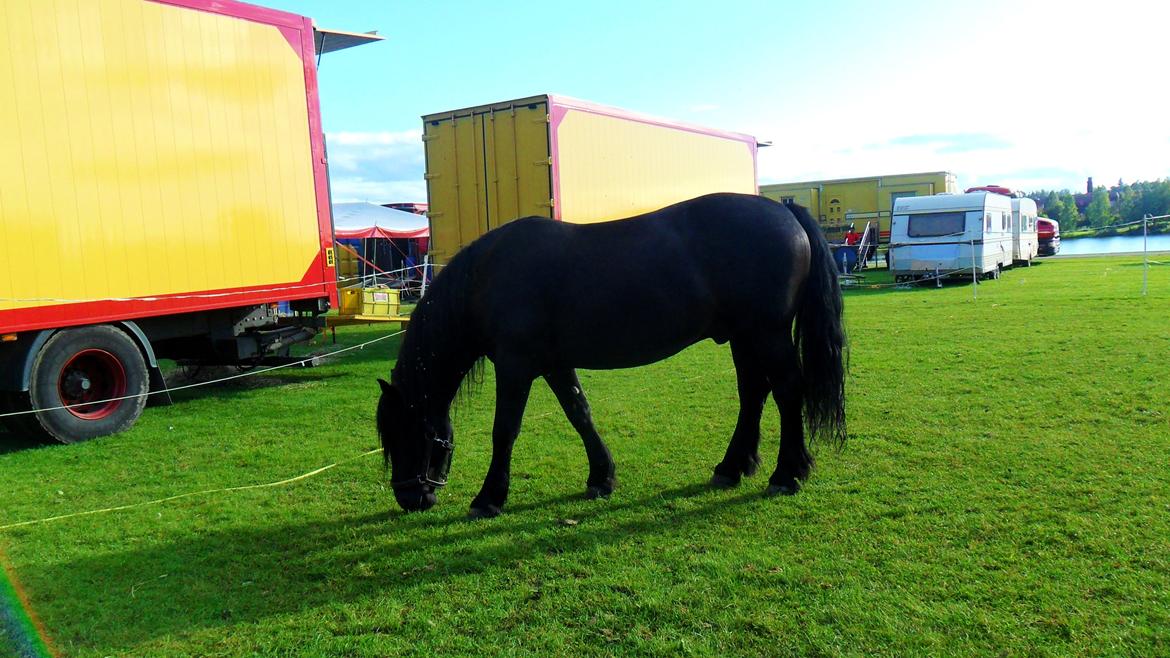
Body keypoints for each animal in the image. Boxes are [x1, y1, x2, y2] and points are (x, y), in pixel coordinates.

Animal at [379, 192, 847, 515]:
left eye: (403, 432)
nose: (410, 498)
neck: (487, 278)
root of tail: (784, 211)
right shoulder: (553, 363)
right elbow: (579, 413)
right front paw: (601, 478)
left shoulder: (515, 366)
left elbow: (505, 430)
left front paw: (489, 498)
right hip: (744, 337)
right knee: (753, 393)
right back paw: (733, 467)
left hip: (766, 334)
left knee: (787, 390)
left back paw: (788, 474)